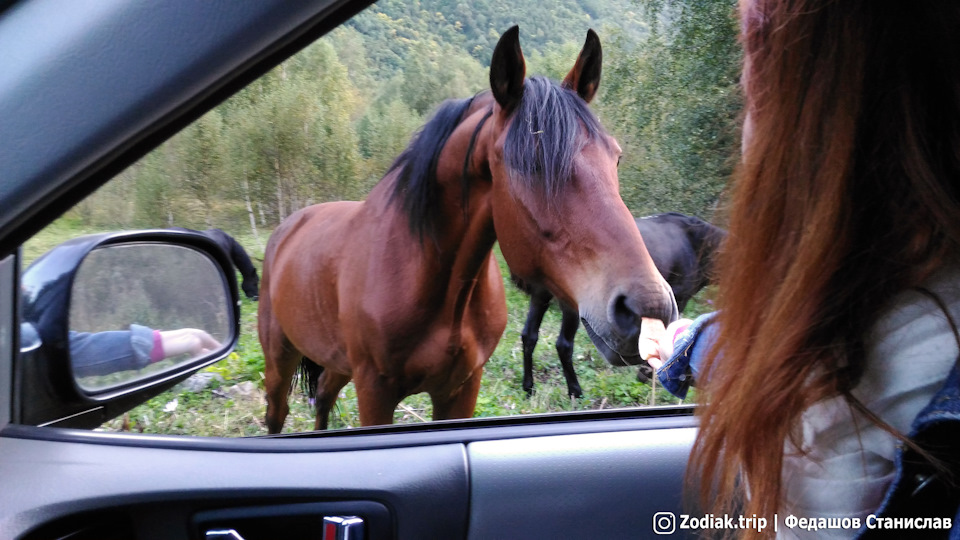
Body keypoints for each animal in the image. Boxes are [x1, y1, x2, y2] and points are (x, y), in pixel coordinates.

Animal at [255, 26, 676, 434]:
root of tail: (288, 227)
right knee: (277, 414)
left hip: (336, 362)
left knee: (324, 397)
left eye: (615, 157)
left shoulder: (461, 388)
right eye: (533, 165)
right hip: (280, 360)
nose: (647, 309)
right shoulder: (375, 392)